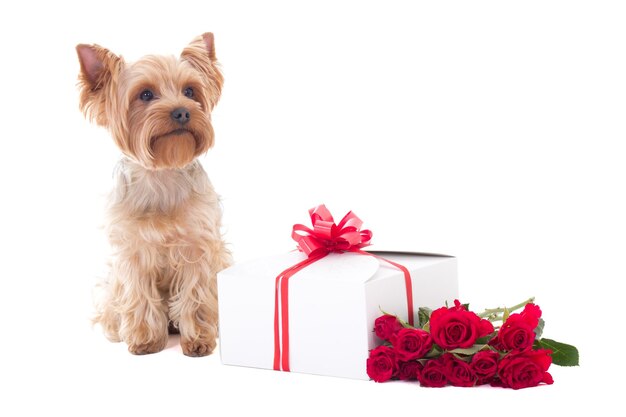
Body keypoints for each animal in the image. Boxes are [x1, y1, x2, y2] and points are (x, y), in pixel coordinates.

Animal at [77, 34, 230, 356]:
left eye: (190, 91)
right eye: (145, 94)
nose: (182, 111)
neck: (162, 172)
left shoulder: (197, 246)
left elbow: (196, 292)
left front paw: (199, 340)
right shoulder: (133, 252)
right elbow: (139, 295)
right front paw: (145, 339)